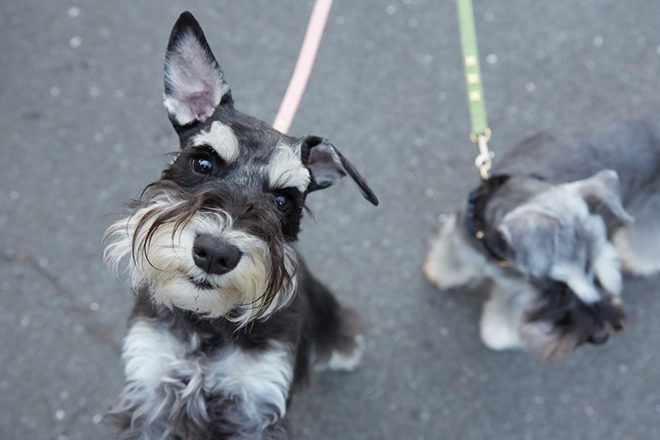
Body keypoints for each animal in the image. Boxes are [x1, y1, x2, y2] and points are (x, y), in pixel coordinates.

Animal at [105, 11, 378, 440]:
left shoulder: (254, 404)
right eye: (203, 162)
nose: (215, 253)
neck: (206, 322)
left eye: (283, 201)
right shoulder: (153, 388)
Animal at [422, 107, 660, 360]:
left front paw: (496, 335)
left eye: (592, 270)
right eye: (557, 284)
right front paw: (440, 272)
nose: (601, 337)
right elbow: (452, 259)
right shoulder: (460, 242)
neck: (496, 254)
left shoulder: (517, 292)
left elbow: (505, 313)